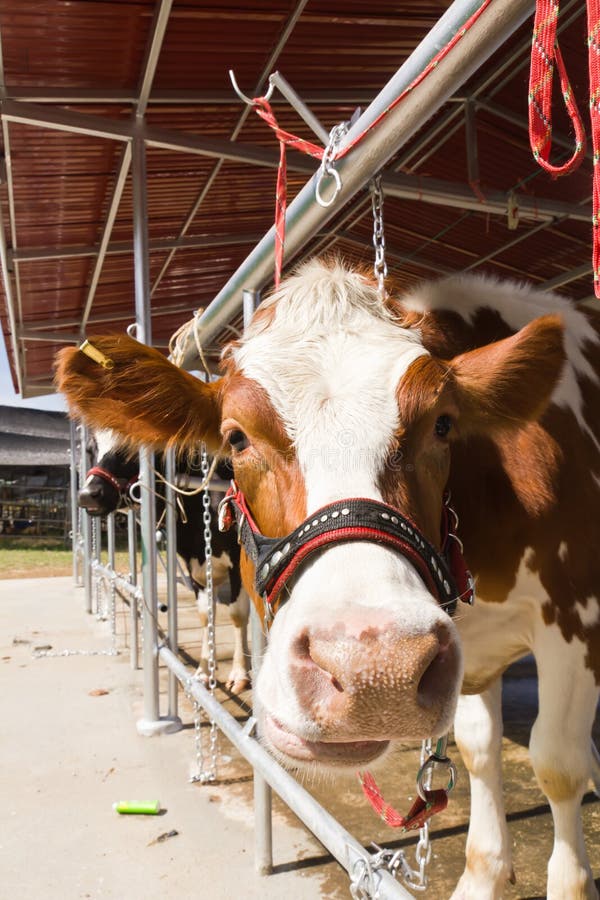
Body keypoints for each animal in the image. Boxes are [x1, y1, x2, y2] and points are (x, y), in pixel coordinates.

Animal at [54, 256, 596, 896]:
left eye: (443, 424)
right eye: (235, 437)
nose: (374, 673)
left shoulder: (575, 619)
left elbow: (556, 765)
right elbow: (478, 750)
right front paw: (482, 876)